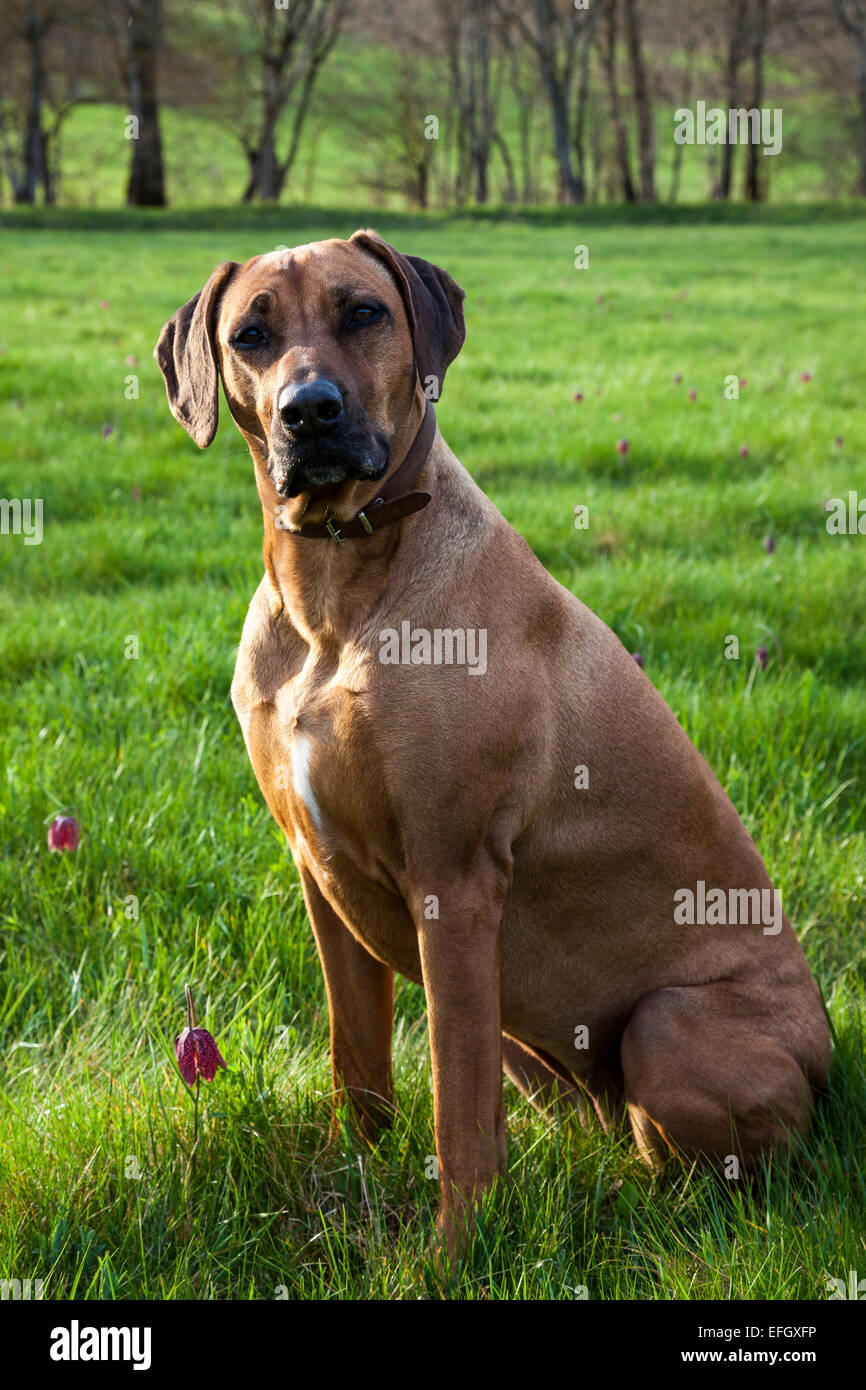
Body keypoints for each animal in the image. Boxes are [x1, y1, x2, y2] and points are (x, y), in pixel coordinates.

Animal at [157, 230, 834, 1262]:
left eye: (364, 312)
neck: (336, 592)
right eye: (250, 335)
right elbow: (359, 1062)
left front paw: (455, 1251)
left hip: (670, 1025)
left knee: (723, 1160)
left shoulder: (456, 882)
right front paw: (353, 1184)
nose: (309, 411)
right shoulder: (320, 877)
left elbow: (458, 1105)